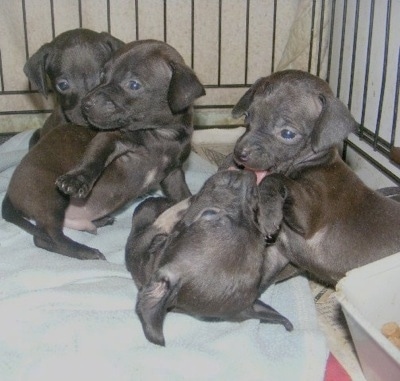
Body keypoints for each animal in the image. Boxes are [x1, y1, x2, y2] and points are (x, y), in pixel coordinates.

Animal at [1, 40, 205, 260]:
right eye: (103, 76)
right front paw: (77, 179)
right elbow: (94, 158)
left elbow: (182, 195)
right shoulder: (111, 138)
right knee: (46, 237)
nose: (86, 104)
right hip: (50, 197)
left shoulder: (173, 173)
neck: (161, 133)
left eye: (134, 84)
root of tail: (11, 194)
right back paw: (84, 251)